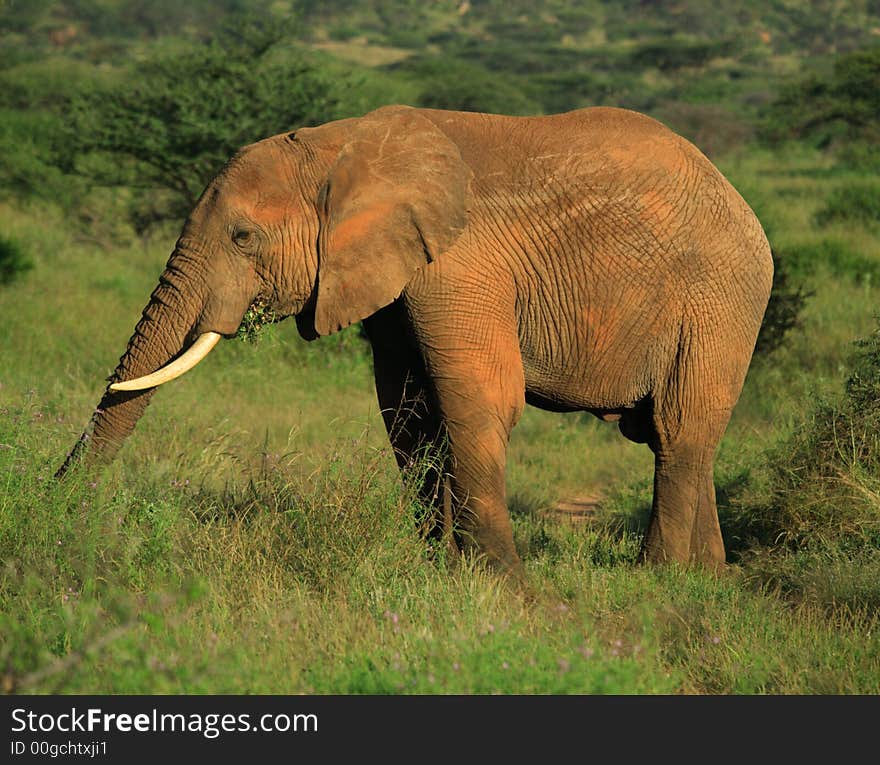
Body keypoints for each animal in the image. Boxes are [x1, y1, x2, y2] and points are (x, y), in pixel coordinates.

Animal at [56, 104, 768, 576]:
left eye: (242, 237)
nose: (57, 507)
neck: (340, 146)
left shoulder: (460, 262)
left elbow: (476, 403)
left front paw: (501, 587)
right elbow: (408, 410)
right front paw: (442, 573)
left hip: (720, 302)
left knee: (679, 431)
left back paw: (658, 581)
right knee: (683, 439)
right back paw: (707, 580)